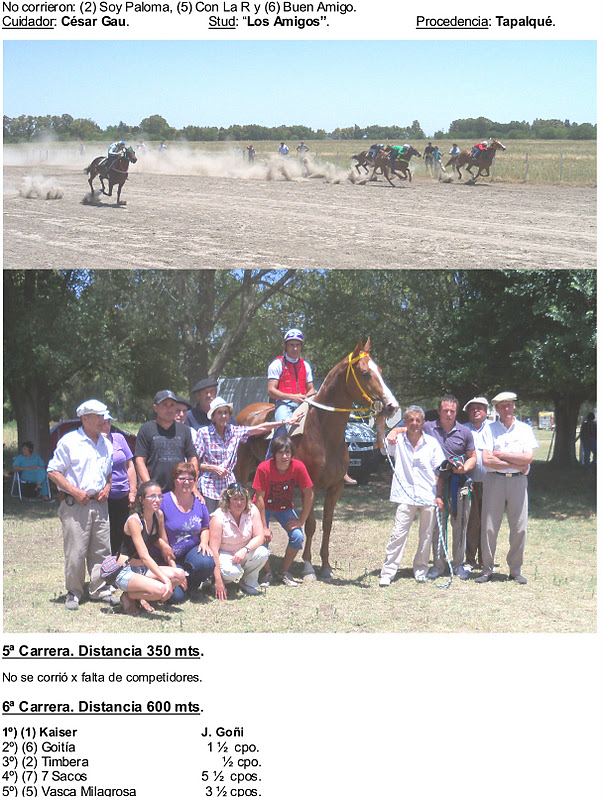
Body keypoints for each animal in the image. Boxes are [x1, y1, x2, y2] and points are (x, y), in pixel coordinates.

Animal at [234, 339, 399, 581]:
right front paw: (309, 567)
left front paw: (326, 567)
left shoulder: (336, 487)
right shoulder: (308, 486)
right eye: (365, 373)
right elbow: (310, 525)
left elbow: (327, 525)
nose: (391, 406)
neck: (323, 432)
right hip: (242, 468)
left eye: (380, 370)